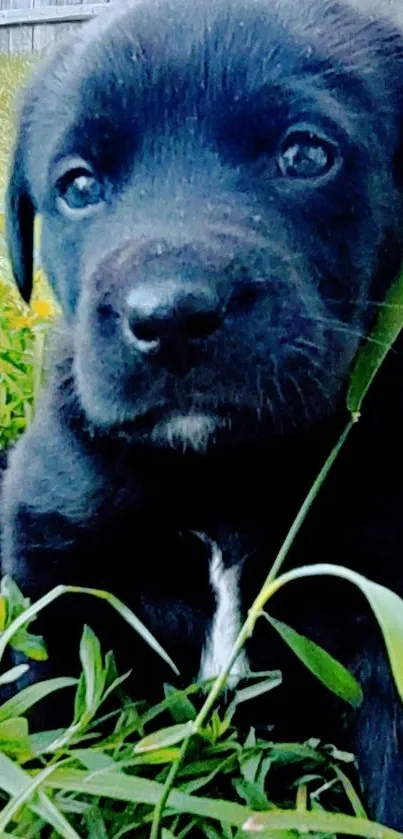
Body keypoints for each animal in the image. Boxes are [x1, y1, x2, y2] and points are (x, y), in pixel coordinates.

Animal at [2, 0, 403, 828]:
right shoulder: (48, 580)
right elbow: (42, 724)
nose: (170, 316)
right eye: (78, 185)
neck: (220, 474)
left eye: (305, 154)